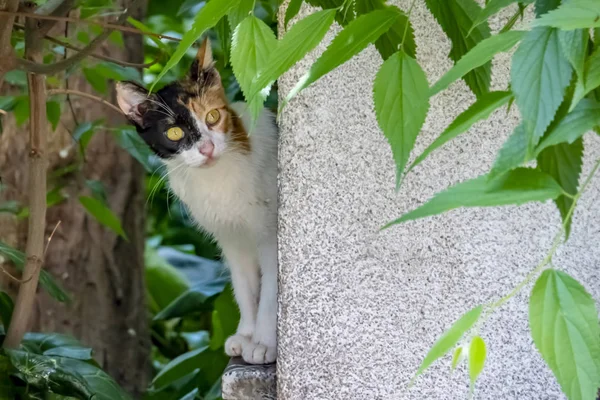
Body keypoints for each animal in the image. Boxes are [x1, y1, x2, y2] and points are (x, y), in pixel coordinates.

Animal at [115, 39, 278, 364]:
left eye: (213, 116)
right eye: (174, 132)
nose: (206, 148)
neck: (218, 181)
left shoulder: (271, 234)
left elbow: (270, 290)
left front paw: (264, 343)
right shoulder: (231, 238)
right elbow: (244, 286)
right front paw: (246, 334)